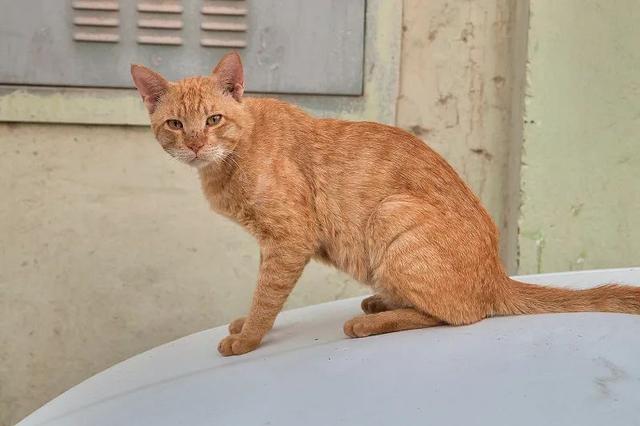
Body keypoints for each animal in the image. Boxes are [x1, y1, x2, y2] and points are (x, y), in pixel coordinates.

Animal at [131, 52, 640, 356]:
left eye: (214, 120)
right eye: (175, 124)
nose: (195, 144)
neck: (230, 160)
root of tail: (498, 276)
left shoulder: (289, 239)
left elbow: (267, 294)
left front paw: (249, 338)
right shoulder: (272, 243)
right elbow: (265, 291)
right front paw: (248, 327)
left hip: (393, 218)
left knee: (459, 315)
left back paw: (370, 323)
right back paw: (379, 304)